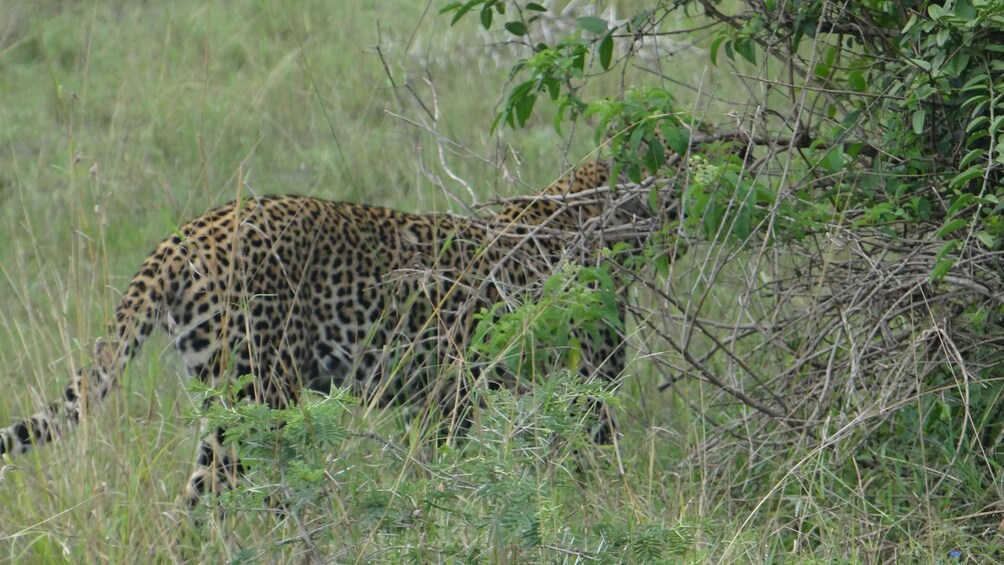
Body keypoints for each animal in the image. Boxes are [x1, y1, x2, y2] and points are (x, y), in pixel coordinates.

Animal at [0, 156, 668, 508]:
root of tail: (185, 234)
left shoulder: (445, 398)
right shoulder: (572, 391)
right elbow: (591, 468)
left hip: (229, 402)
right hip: (257, 400)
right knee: (214, 502)